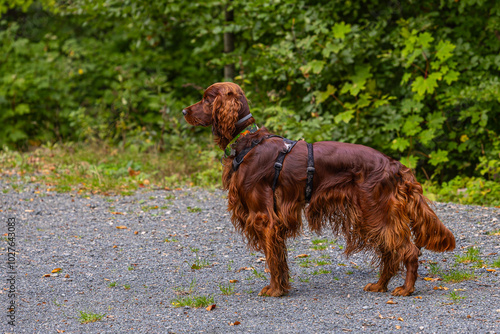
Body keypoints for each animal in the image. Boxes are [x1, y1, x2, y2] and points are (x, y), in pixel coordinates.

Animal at [182, 82, 456, 296]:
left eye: (206, 99)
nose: (184, 110)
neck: (249, 142)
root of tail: (394, 165)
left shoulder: (264, 216)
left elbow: (272, 257)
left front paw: (274, 290)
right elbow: (279, 256)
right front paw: (282, 287)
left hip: (376, 212)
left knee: (408, 249)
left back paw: (406, 289)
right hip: (370, 216)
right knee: (390, 251)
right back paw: (380, 285)